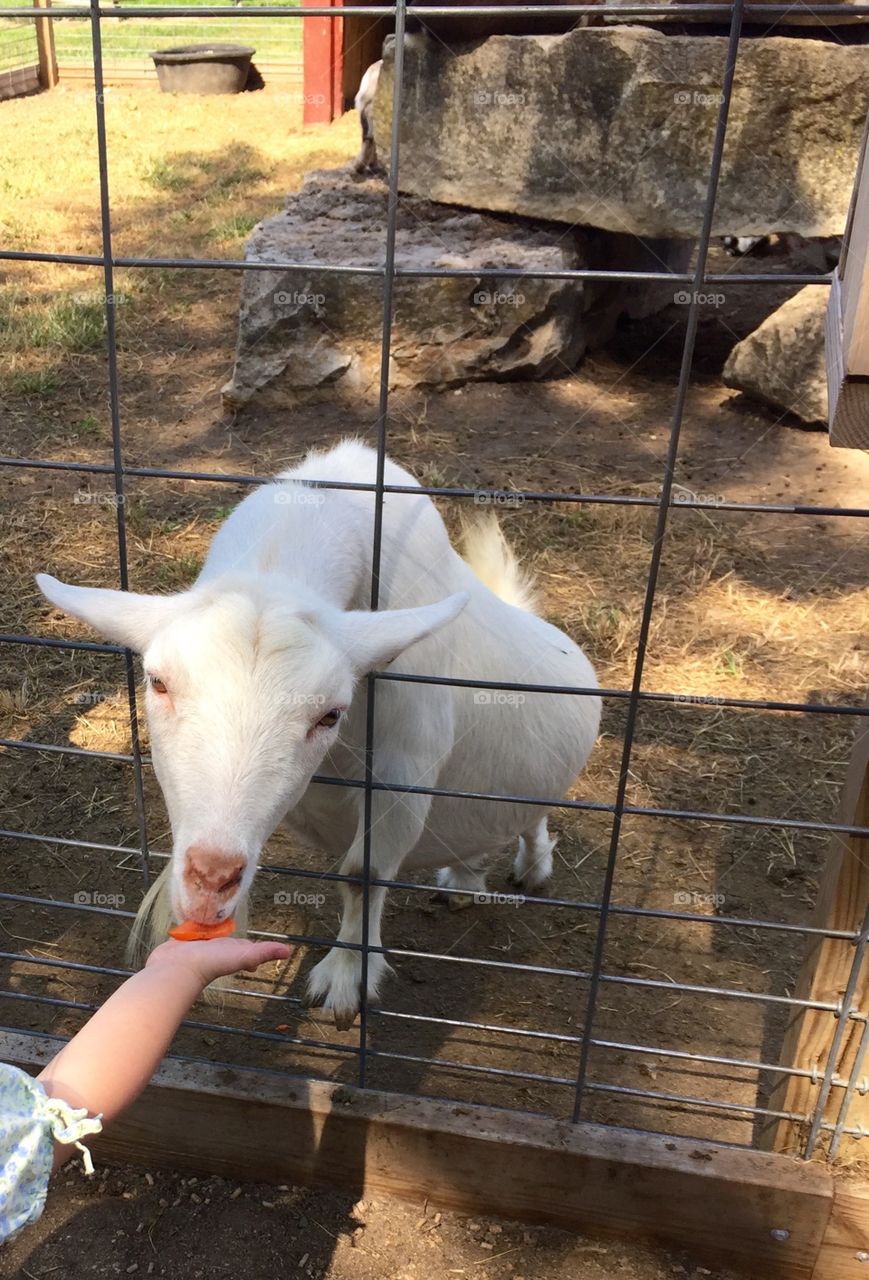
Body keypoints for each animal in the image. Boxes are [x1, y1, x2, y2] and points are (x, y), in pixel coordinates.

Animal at [37, 441, 600, 1027]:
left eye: (330, 715)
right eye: (158, 682)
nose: (212, 880)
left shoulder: (403, 774)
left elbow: (362, 873)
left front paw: (346, 978)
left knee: (533, 817)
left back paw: (532, 867)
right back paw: (464, 879)